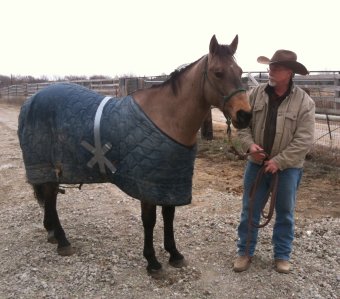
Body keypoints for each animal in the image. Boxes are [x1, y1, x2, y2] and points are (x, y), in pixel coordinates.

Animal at [17, 35, 252, 278]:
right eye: (218, 72)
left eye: (240, 71)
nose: (245, 115)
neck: (166, 119)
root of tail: (30, 101)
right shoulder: (147, 184)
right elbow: (150, 221)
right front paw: (152, 261)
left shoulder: (169, 182)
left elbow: (169, 216)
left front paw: (174, 254)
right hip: (46, 166)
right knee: (50, 197)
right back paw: (62, 240)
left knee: (50, 197)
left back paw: (53, 233)